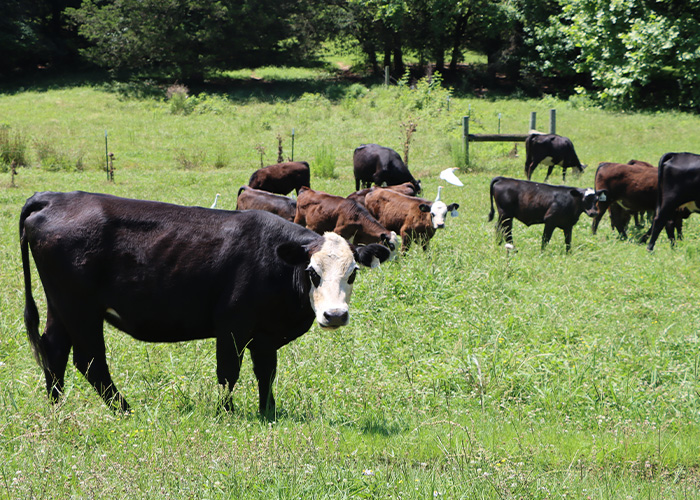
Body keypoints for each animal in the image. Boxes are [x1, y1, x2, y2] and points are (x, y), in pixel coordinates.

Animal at [20, 191, 391, 417]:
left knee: (54, 350)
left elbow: (266, 373)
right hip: (80, 309)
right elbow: (228, 372)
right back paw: (124, 410)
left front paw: (267, 412)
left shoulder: (265, 335)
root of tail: (52, 198)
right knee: (90, 360)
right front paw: (226, 412)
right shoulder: (232, 327)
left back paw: (56, 408)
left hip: (60, 306)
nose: (335, 315)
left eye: (353, 273)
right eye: (312, 272)